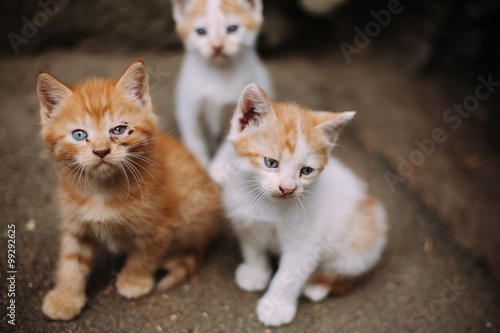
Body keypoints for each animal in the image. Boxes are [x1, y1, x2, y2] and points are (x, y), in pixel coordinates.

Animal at [37, 59, 221, 320]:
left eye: (118, 130)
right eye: (79, 135)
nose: (101, 151)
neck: (102, 189)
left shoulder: (157, 224)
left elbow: (144, 254)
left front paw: (134, 282)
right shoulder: (75, 223)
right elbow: (71, 260)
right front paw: (65, 297)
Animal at [172, 0, 274, 166]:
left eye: (232, 29)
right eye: (201, 31)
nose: (217, 46)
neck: (219, 74)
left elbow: (227, 150)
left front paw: (215, 169)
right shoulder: (190, 106)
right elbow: (195, 139)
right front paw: (200, 165)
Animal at [209, 84, 388, 326]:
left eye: (306, 170)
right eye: (270, 163)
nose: (287, 189)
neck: (268, 206)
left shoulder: (306, 242)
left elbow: (289, 276)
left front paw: (276, 308)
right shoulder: (245, 220)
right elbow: (253, 248)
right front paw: (256, 273)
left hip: (359, 249)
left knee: (346, 272)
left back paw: (317, 286)